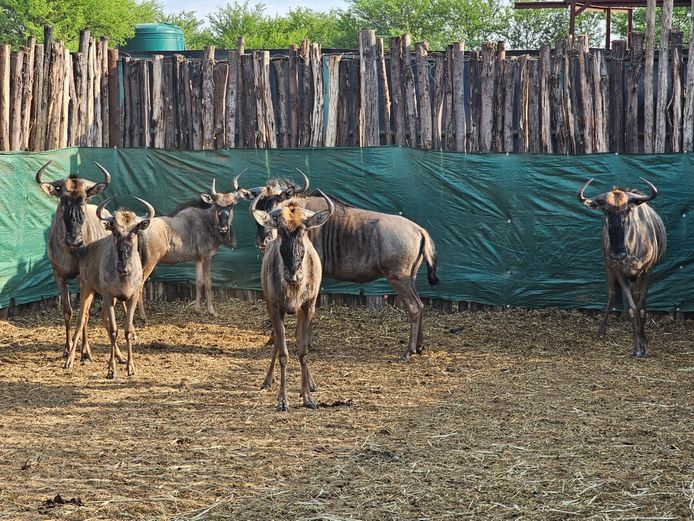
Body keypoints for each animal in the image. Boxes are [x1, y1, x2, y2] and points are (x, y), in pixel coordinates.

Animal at [65, 196, 154, 379]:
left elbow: (127, 330)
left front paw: (130, 367)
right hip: (87, 289)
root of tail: (85, 250)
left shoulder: (131, 296)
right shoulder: (107, 294)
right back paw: (70, 360)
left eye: (134, 231)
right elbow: (114, 330)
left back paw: (120, 357)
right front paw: (111, 370)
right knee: (81, 319)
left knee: (103, 318)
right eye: (115, 231)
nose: (123, 267)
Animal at [252, 191, 335, 411]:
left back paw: (311, 383)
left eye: (304, 230)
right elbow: (283, 353)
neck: (293, 288)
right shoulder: (275, 307)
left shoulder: (308, 307)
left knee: (298, 341)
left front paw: (307, 396)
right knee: (278, 343)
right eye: (280, 229)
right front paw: (282, 400)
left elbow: (303, 351)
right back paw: (267, 380)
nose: (293, 275)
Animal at [578, 178, 666, 357]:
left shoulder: (648, 271)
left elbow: (641, 308)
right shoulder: (619, 271)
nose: (617, 253)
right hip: (609, 267)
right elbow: (632, 307)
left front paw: (644, 344)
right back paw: (602, 331)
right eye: (605, 210)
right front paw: (637, 347)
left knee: (637, 298)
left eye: (627, 210)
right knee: (612, 295)